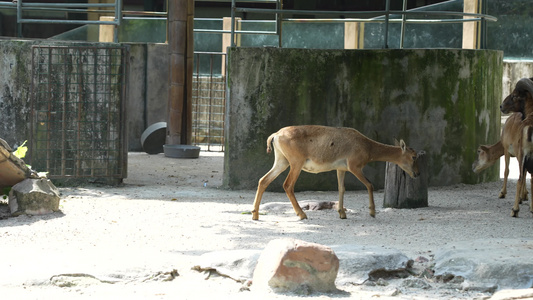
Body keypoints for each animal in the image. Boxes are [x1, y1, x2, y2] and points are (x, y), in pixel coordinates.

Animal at [250, 125, 420, 220]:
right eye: (413, 156)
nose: (417, 173)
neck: (366, 146)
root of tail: (275, 135)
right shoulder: (354, 166)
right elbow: (370, 185)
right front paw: (372, 212)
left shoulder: (341, 169)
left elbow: (341, 189)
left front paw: (342, 214)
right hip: (295, 163)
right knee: (287, 185)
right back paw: (302, 215)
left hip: (281, 161)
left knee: (263, 180)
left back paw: (255, 214)